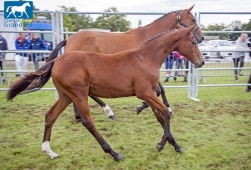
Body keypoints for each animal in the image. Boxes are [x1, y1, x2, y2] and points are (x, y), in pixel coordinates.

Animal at [7, 24, 204, 160]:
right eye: (193, 41)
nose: (201, 62)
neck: (145, 58)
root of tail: (56, 61)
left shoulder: (150, 93)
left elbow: (160, 115)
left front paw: (174, 145)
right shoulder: (145, 93)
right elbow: (164, 112)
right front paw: (162, 144)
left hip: (66, 96)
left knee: (50, 116)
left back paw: (49, 151)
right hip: (78, 94)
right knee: (88, 122)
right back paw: (114, 152)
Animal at [45, 4, 204, 120]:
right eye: (193, 20)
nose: (201, 38)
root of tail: (68, 38)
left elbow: (160, 90)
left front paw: (164, 108)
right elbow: (158, 90)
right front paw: (147, 107)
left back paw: (80, 115)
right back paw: (106, 112)